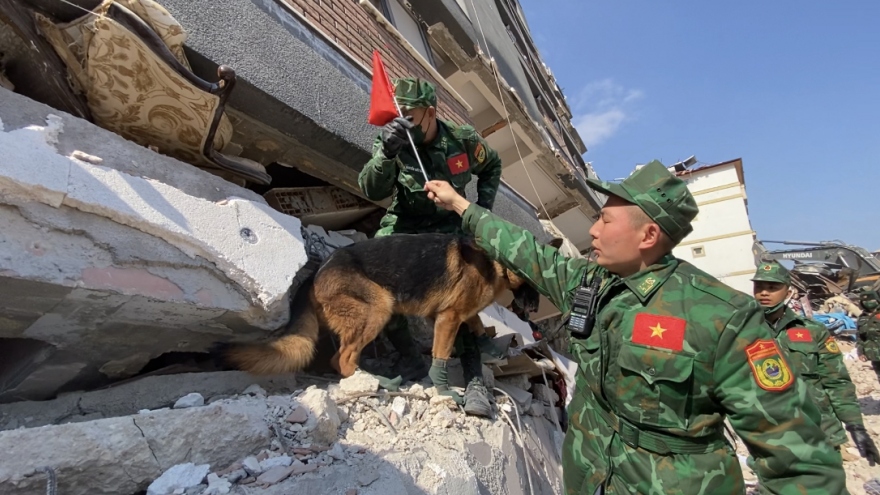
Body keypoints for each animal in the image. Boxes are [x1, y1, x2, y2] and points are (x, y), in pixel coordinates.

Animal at [220, 232, 536, 380]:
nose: (533, 309)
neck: (495, 261)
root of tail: (318, 268)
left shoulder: (454, 314)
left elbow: (478, 322)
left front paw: (488, 342)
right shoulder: (448, 318)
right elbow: (442, 352)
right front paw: (442, 384)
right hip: (379, 307)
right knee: (341, 359)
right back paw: (371, 379)